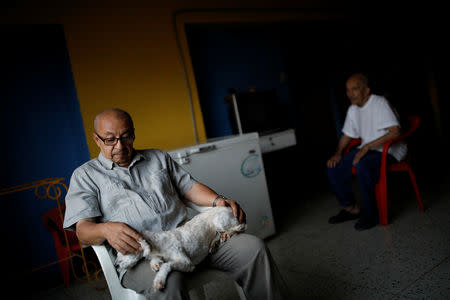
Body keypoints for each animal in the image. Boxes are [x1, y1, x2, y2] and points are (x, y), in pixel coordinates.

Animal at [114, 206, 244, 290]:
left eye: (124, 250)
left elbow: (167, 265)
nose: (115, 265)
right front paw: (155, 263)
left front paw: (159, 280)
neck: (159, 244)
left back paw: (229, 234)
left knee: (241, 227)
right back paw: (214, 244)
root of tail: (228, 207)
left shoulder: (187, 263)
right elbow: (157, 260)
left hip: (220, 221)